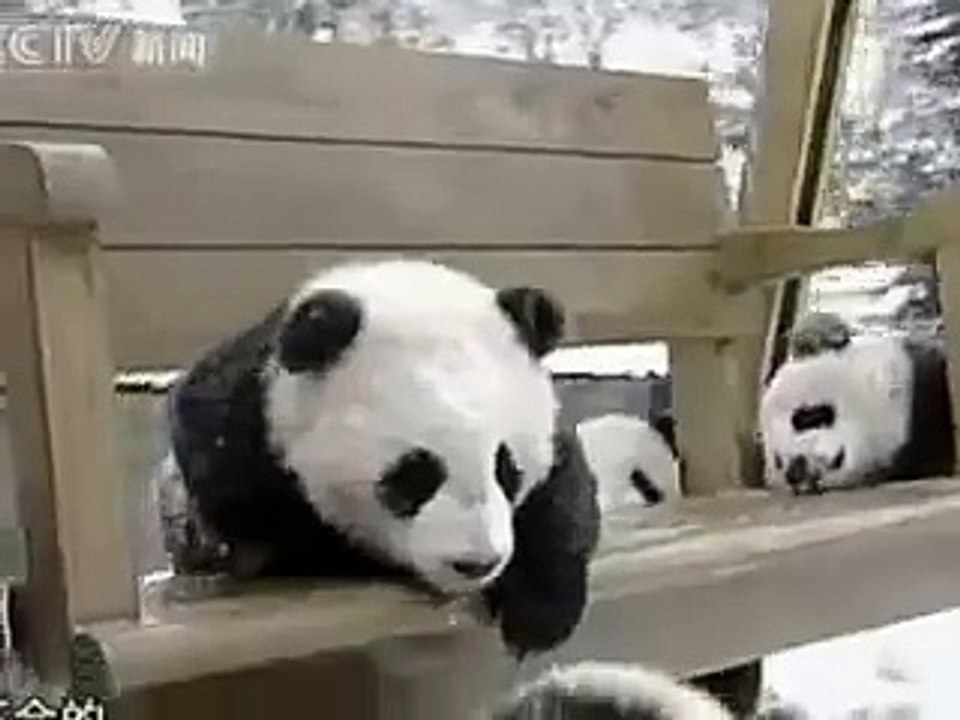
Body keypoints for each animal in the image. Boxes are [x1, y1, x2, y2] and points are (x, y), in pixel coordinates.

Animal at [158, 258, 601, 658]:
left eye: (507, 469)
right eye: (413, 475)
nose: (476, 564)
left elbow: (564, 491)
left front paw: (541, 615)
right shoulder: (241, 428)